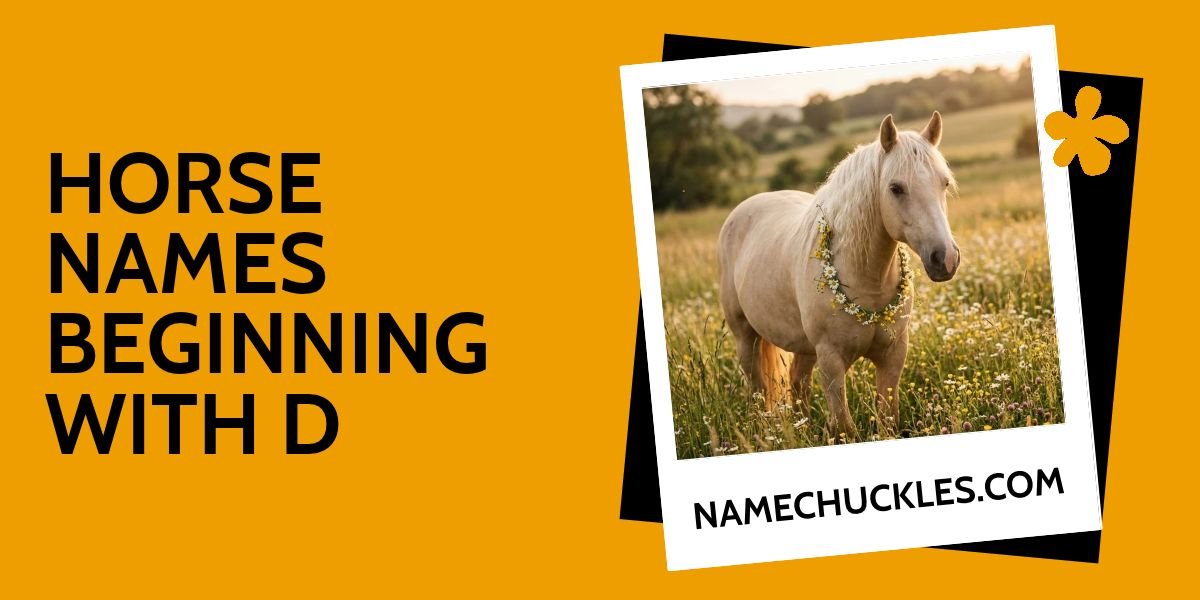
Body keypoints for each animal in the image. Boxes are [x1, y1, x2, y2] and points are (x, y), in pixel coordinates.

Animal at [717, 111, 959, 440]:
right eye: (896, 188)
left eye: (944, 183)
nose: (945, 258)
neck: (867, 283)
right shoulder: (831, 361)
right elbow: (844, 427)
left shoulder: (893, 355)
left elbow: (888, 420)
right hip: (746, 338)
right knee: (757, 389)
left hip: (804, 347)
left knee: (798, 384)